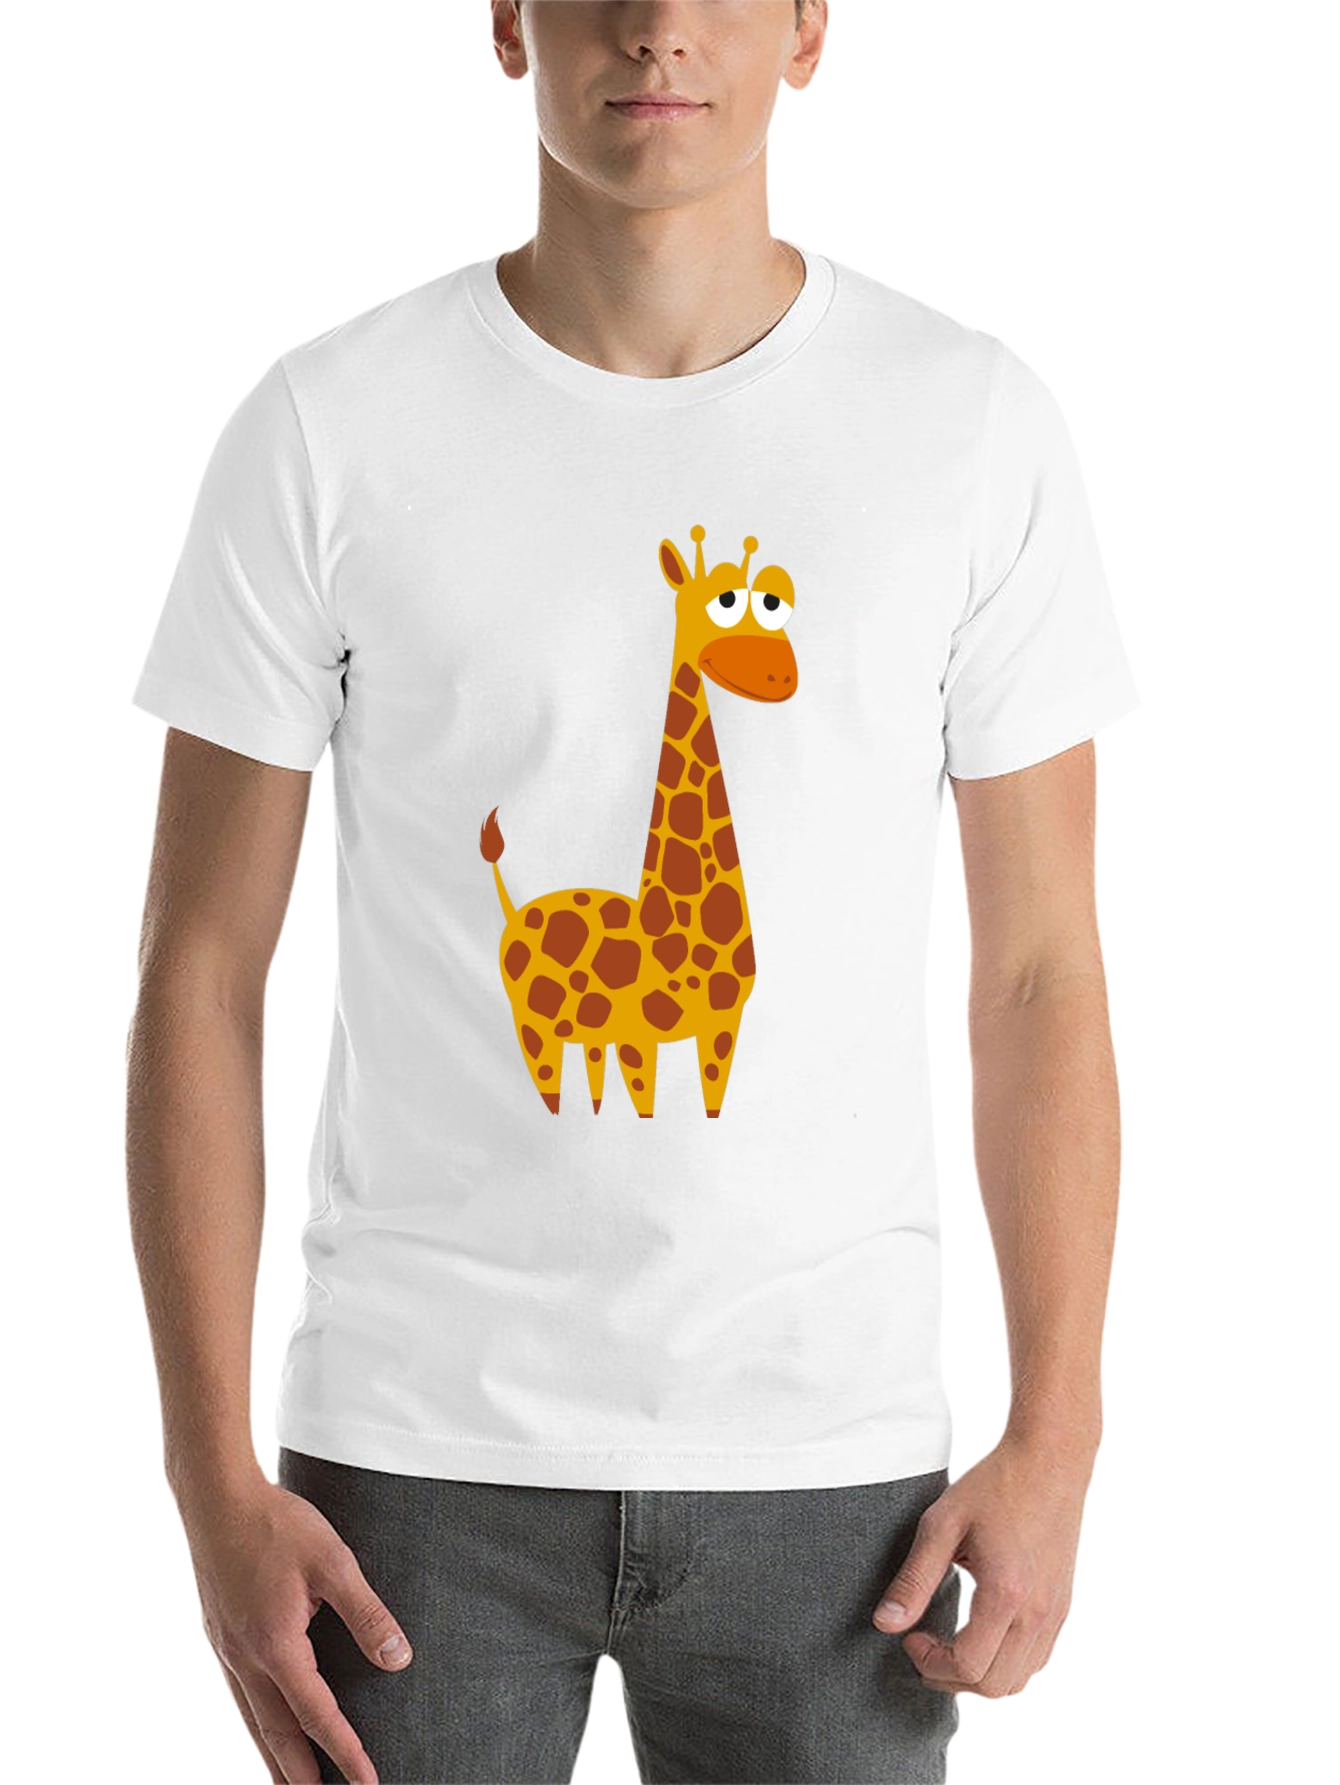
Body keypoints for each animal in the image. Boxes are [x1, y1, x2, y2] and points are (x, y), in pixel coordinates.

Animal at [479, 524, 798, 1117]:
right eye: (723, 602)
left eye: (775, 604)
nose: (781, 676)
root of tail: (514, 911)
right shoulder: (637, 1038)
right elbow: (645, 1104)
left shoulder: (722, 1025)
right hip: (534, 1031)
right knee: (551, 1094)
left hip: (584, 1037)